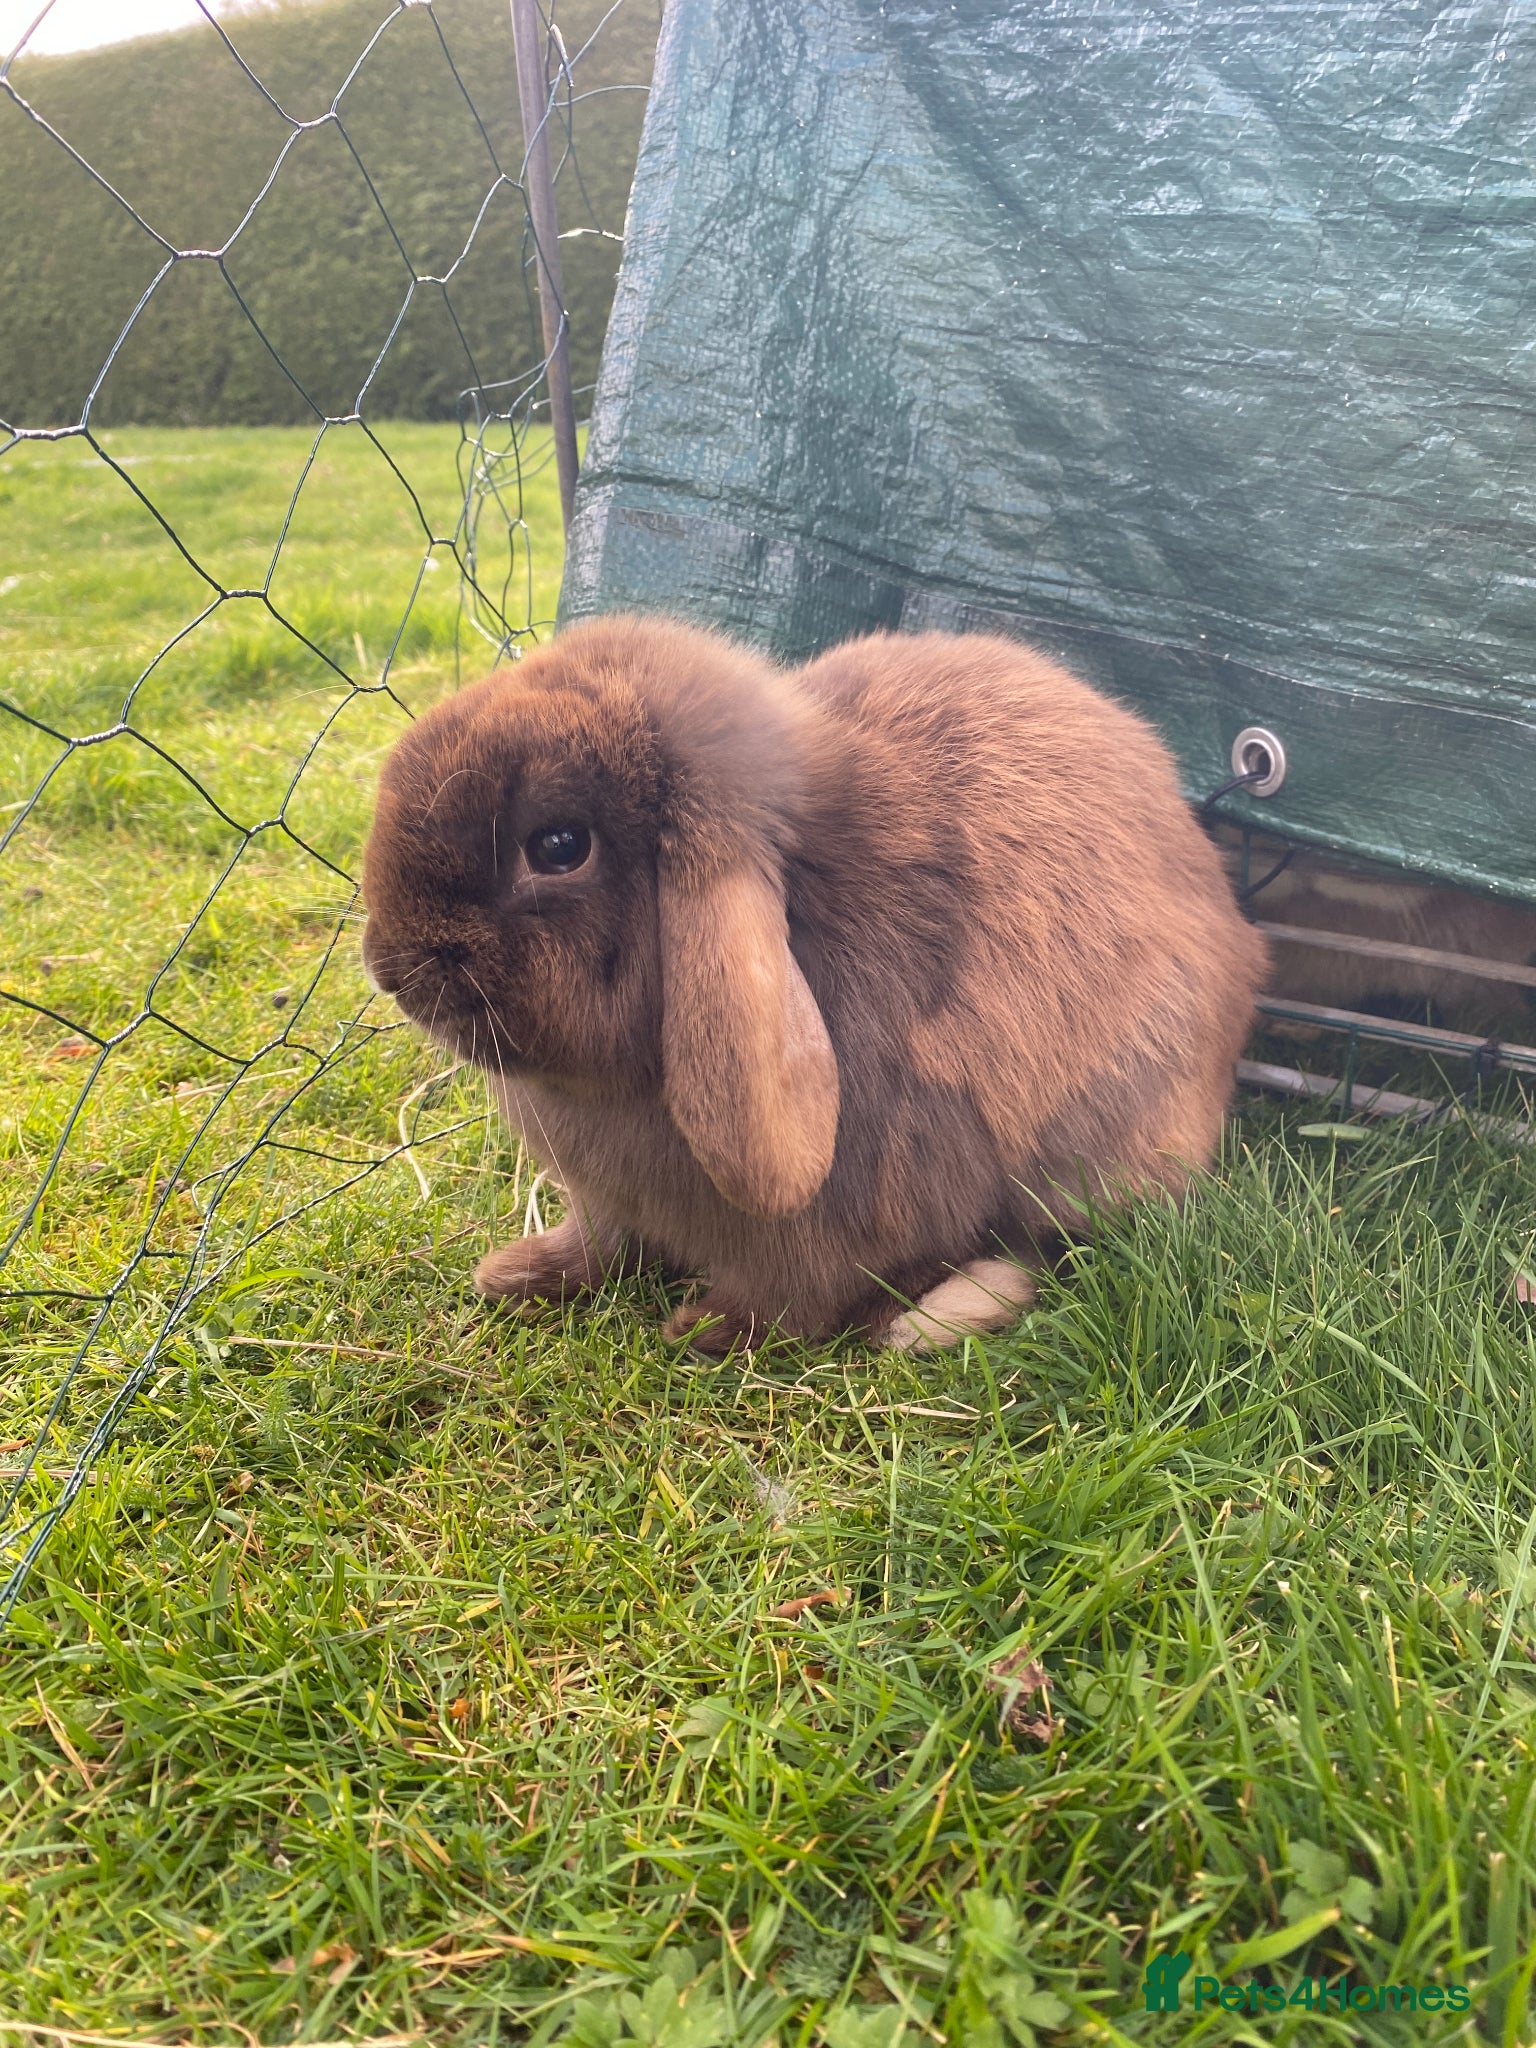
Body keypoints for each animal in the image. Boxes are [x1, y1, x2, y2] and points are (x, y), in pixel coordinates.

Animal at [361, 614, 1267, 1355]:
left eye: (557, 845)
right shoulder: (611, 1203)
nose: (390, 966)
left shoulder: (825, 1230)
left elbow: (793, 1297)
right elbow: (602, 1245)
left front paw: (705, 1329)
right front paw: (516, 1274)